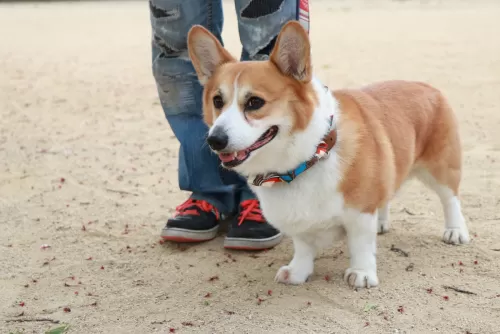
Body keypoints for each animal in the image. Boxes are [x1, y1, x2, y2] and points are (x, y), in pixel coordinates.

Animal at [187, 20, 468, 288]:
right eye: (217, 101)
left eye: (255, 102)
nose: (215, 140)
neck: (306, 159)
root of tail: (425, 85)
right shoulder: (298, 223)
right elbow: (302, 247)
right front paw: (298, 272)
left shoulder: (360, 213)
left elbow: (361, 245)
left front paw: (362, 273)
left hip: (441, 168)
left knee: (450, 199)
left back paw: (455, 231)